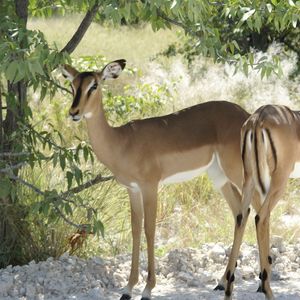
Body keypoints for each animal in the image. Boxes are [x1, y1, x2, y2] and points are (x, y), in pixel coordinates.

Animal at [62, 59, 251, 298]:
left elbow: (149, 230)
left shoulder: (150, 187)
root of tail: (246, 116)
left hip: (239, 172)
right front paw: (128, 288)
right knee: (239, 213)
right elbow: (135, 229)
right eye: (73, 85)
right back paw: (222, 281)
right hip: (219, 177)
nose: (74, 112)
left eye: (94, 85)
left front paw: (147, 288)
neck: (122, 142)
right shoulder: (132, 189)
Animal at [223, 103, 300, 300]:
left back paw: (228, 289)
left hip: (249, 178)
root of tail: (258, 118)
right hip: (278, 181)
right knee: (261, 218)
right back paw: (267, 289)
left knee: (241, 217)